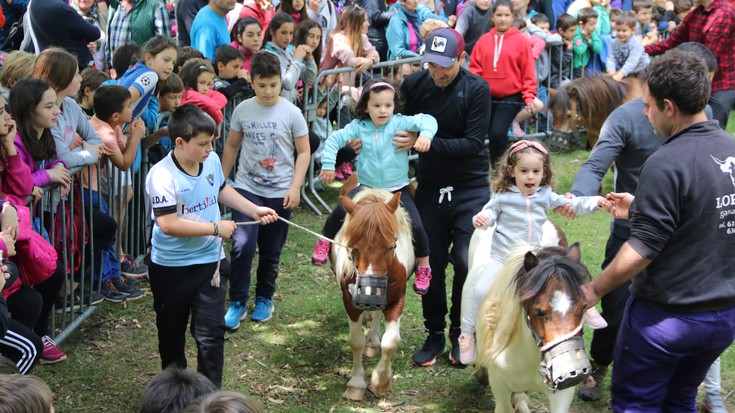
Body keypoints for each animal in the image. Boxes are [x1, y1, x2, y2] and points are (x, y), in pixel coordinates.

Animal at [332, 187, 416, 400]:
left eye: (391, 247)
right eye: (353, 248)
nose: (369, 293)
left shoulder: (396, 300)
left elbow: (391, 342)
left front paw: (381, 381)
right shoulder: (350, 302)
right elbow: (356, 341)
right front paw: (356, 383)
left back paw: (373, 339)